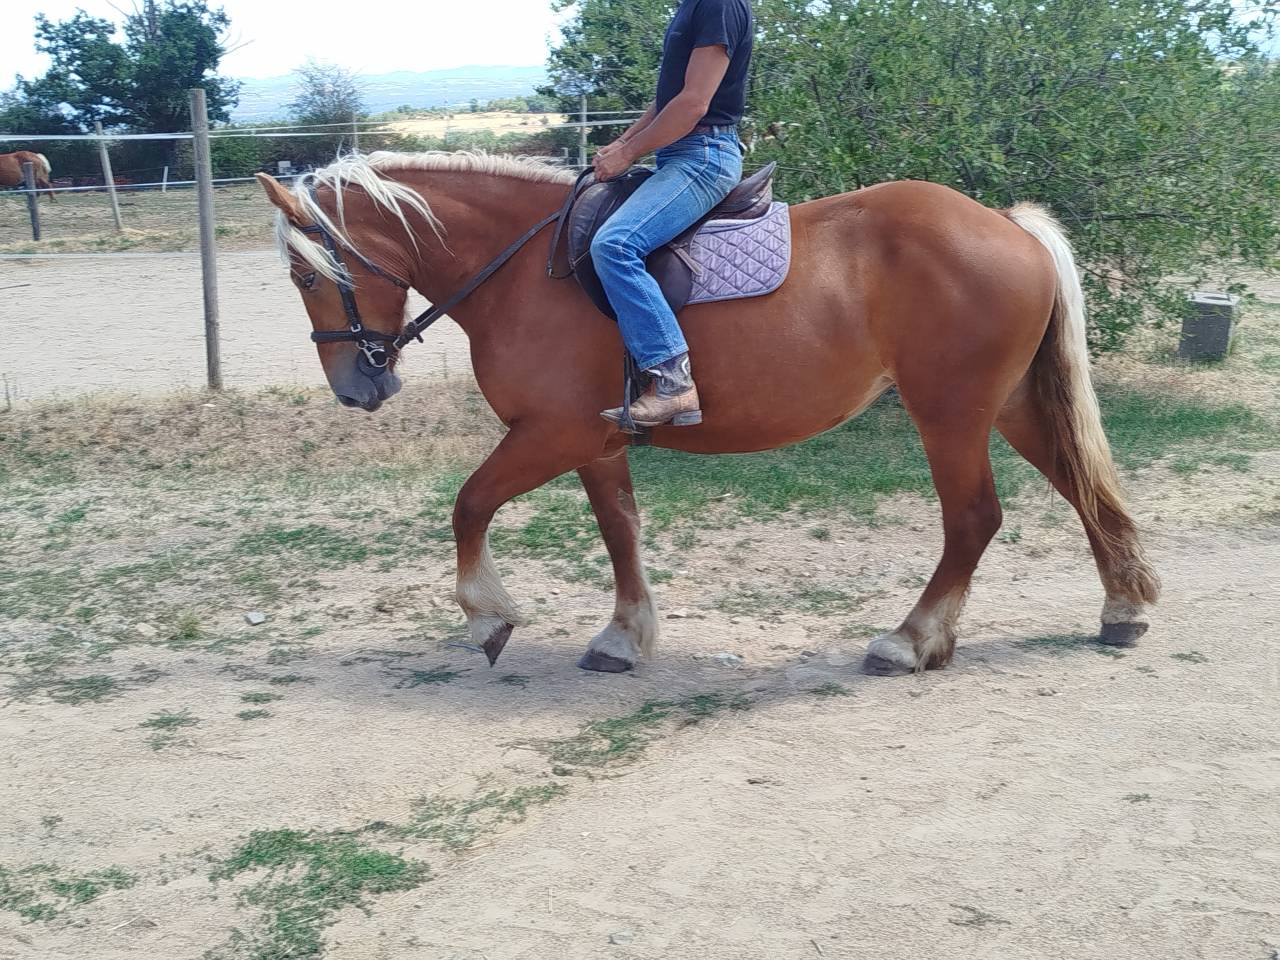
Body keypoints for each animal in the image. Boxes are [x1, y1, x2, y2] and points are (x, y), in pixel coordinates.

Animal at [254, 151, 1160, 677]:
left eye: (303, 276)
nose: (355, 388)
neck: (524, 270)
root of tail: (1006, 225)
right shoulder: (596, 440)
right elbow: (619, 529)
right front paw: (623, 637)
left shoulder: (552, 432)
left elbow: (469, 503)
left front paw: (488, 618)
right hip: (1010, 404)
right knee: (1084, 489)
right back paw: (1122, 609)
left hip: (951, 412)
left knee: (974, 517)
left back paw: (911, 638)